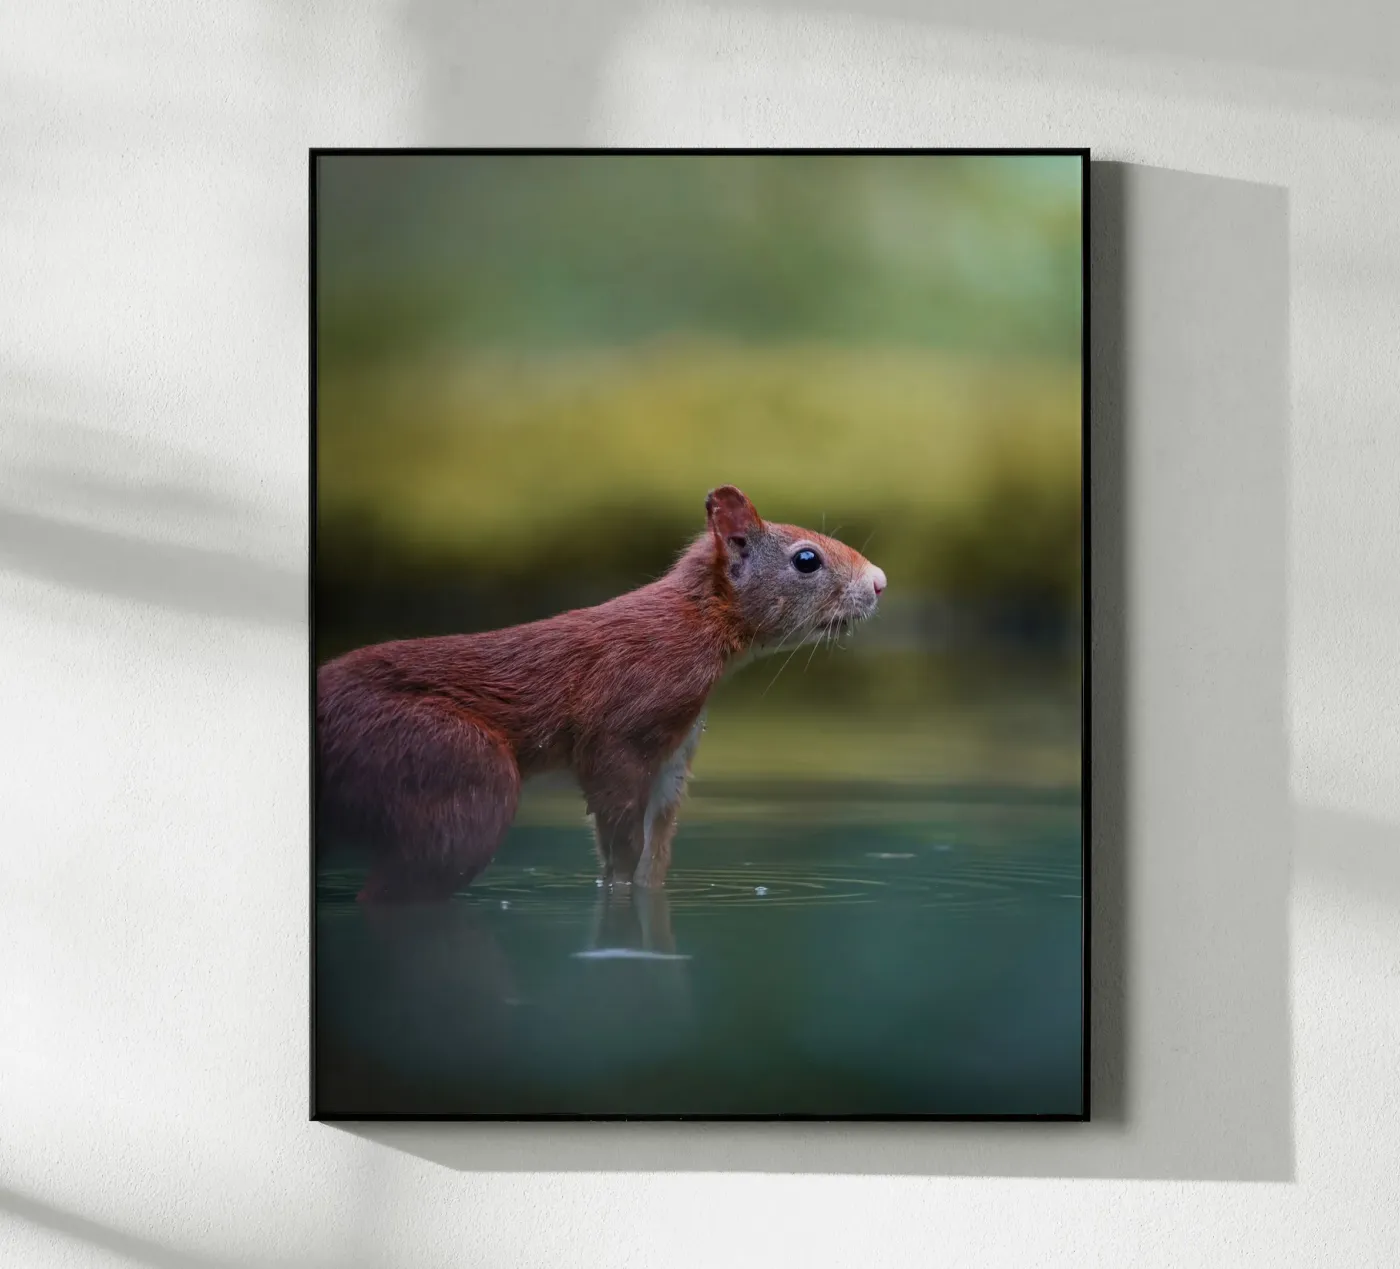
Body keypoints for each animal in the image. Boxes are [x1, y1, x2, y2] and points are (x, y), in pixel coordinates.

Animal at [316, 485, 886, 903]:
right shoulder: (622, 725)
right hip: (450, 765)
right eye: (807, 559)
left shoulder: (674, 754)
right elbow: (620, 837)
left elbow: (654, 852)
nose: (879, 582)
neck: (696, 625)